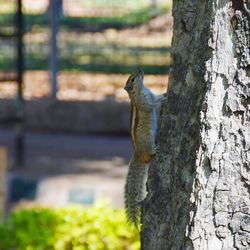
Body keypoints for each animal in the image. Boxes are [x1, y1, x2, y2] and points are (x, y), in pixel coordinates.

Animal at [123, 69, 166, 228]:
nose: (140, 70)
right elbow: (150, 105)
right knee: (151, 151)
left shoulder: (151, 94)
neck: (141, 90)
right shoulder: (143, 101)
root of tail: (139, 154)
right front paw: (164, 99)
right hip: (147, 140)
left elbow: (156, 96)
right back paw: (155, 149)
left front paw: (164, 93)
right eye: (132, 79)